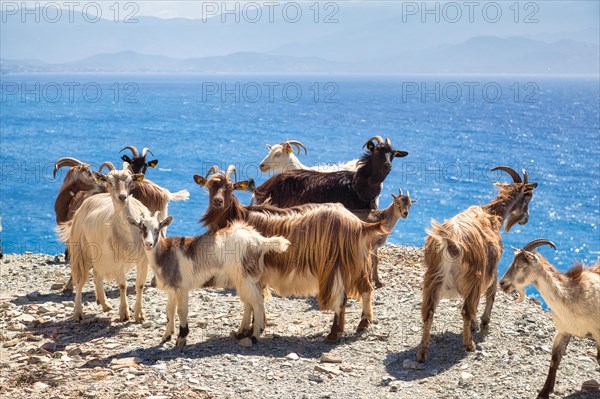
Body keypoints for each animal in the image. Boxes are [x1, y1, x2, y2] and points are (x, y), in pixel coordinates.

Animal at [56, 162, 151, 322]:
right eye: (109, 182)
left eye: (130, 181)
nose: (122, 197)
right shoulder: (117, 260)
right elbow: (123, 285)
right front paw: (124, 313)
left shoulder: (144, 259)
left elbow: (140, 285)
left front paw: (140, 314)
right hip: (81, 249)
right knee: (80, 280)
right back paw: (78, 313)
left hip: (99, 253)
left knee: (97, 274)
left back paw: (105, 304)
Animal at [127, 212, 290, 346]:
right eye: (141, 228)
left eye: (157, 229)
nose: (149, 244)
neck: (165, 254)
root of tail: (260, 240)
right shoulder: (172, 289)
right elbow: (169, 311)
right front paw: (166, 336)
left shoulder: (181, 288)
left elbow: (181, 311)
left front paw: (181, 338)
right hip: (242, 279)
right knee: (248, 303)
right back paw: (240, 332)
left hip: (246, 277)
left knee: (257, 303)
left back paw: (255, 335)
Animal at [193, 166, 390, 344]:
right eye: (210, 186)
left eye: (230, 187)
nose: (218, 201)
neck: (240, 216)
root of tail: (359, 224)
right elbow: (253, 300)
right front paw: (250, 329)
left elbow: (251, 300)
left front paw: (250, 330)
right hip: (357, 261)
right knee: (366, 288)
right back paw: (363, 323)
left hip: (336, 264)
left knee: (341, 298)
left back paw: (334, 334)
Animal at [418, 166, 540, 362]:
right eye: (528, 196)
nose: (526, 218)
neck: (492, 214)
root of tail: (450, 243)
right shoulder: (492, 267)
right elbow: (491, 294)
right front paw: (483, 324)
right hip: (474, 274)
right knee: (466, 310)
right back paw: (469, 345)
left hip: (433, 277)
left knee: (428, 312)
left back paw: (422, 353)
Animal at [496, 239, 600, 398]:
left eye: (519, 266)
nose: (502, 284)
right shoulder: (564, 330)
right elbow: (554, 359)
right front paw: (544, 392)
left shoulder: (597, 332)